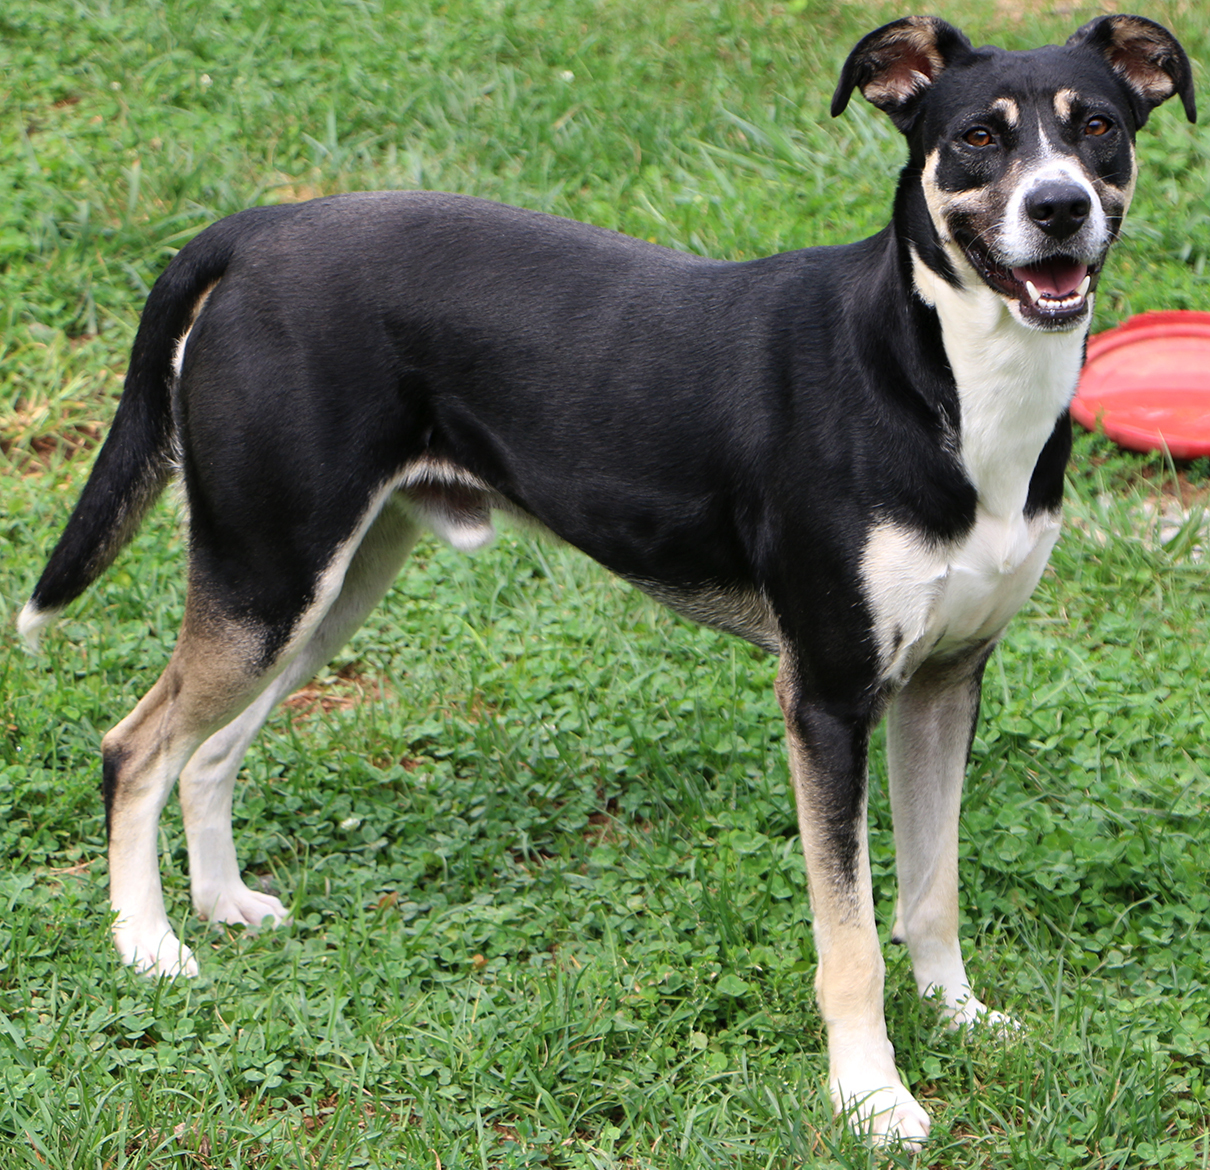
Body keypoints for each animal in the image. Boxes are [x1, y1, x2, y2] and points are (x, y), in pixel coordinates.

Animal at [18, 9, 1190, 1142]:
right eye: (978, 138)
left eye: (1097, 127)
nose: (1056, 208)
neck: (939, 372)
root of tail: (261, 229)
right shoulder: (825, 696)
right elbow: (851, 937)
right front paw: (871, 1098)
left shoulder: (947, 680)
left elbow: (931, 890)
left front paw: (960, 1017)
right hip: (267, 574)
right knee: (134, 748)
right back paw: (148, 948)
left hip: (320, 587)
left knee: (207, 751)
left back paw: (220, 903)